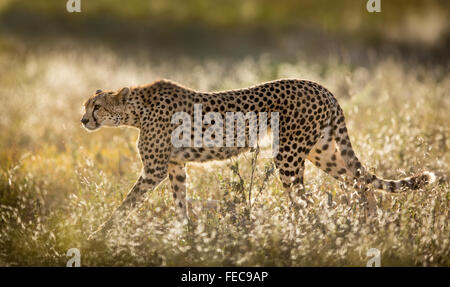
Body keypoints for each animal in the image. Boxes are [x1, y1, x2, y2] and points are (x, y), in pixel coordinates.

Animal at [81, 80, 436, 240]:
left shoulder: (154, 169)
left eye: (96, 106)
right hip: (321, 151)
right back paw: (372, 225)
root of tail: (323, 88)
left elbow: (127, 204)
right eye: (87, 106)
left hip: (289, 157)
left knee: (305, 202)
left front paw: (98, 235)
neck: (136, 110)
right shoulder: (175, 167)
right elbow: (180, 203)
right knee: (361, 181)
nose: (83, 120)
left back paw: (301, 237)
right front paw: (188, 238)